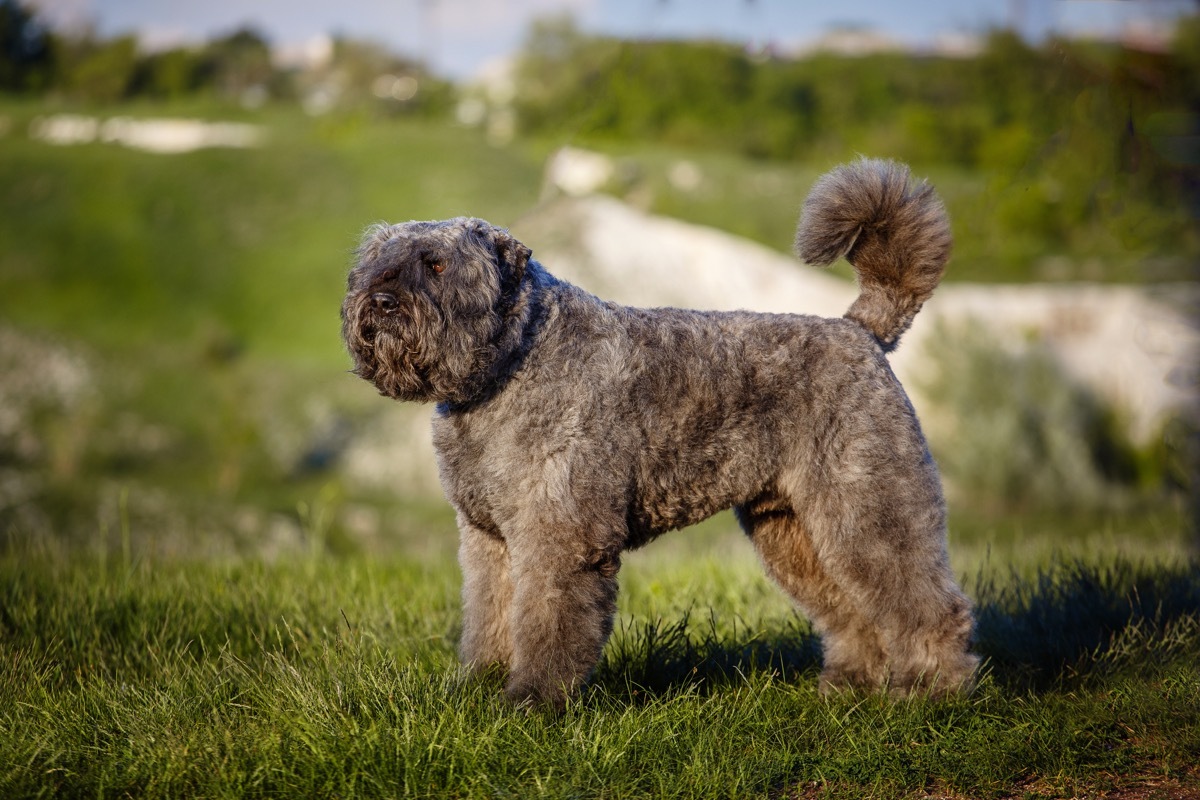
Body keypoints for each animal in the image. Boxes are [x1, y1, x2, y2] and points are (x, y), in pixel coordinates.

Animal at [343, 159, 979, 710]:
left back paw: (930, 693)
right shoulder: (489, 538)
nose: (379, 301)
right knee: (852, 613)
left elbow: (547, 623)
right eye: (376, 261)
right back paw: (849, 686)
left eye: (436, 264)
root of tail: (861, 332)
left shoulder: (558, 537)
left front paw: (532, 701)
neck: (510, 361)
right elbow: (491, 616)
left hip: (868, 505)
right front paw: (479, 685)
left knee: (926, 603)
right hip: (793, 528)